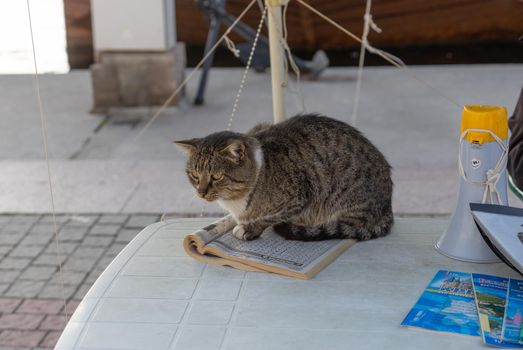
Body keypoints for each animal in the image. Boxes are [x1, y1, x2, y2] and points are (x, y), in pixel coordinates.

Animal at [176, 113, 392, 242]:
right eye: (194, 175)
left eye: (217, 176)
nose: (201, 193)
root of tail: (388, 204)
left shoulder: (299, 197)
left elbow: (271, 217)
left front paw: (249, 228)